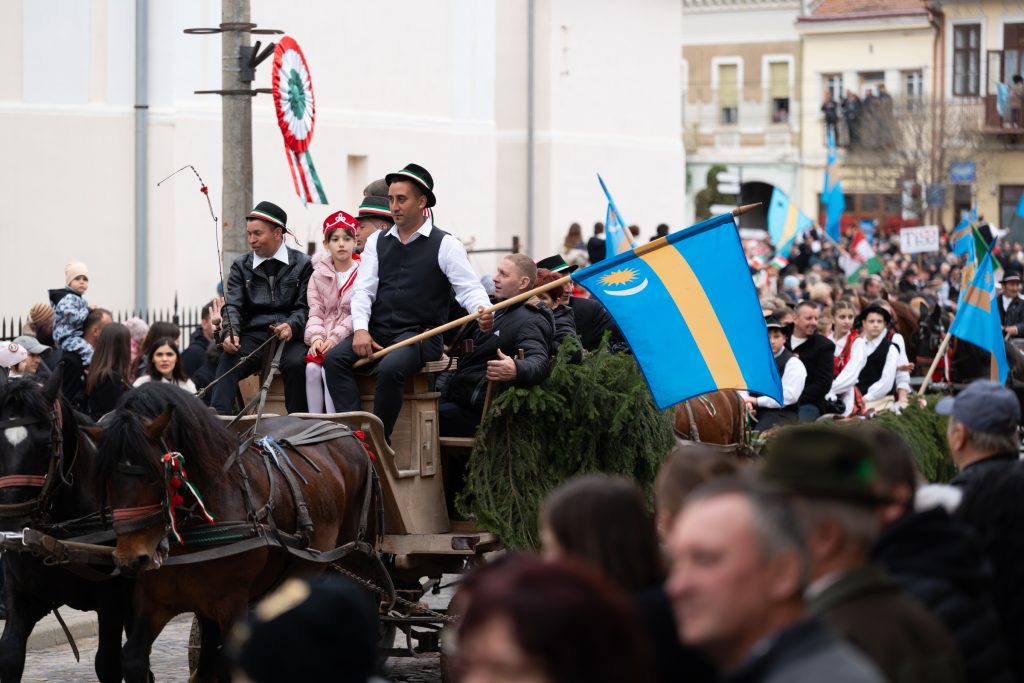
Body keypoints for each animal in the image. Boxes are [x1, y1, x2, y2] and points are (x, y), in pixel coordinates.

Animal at [0, 374, 133, 683]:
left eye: (46, 446)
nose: (9, 524)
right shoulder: (22, 595)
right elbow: (10, 656)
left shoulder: (113, 598)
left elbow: (108, 664)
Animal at [91, 385, 380, 683]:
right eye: (106, 479)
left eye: (154, 475)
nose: (129, 559)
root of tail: (347, 432)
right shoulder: (155, 601)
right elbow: (134, 659)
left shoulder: (232, 602)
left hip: (356, 554)